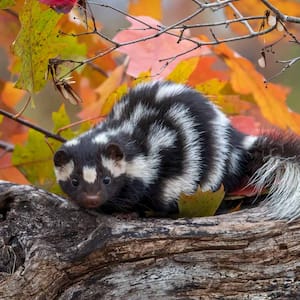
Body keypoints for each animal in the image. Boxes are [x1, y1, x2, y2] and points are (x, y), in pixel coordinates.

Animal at [53, 81, 300, 219]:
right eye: (74, 181)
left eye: (107, 179)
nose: (92, 199)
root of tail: (236, 139)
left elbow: (144, 191)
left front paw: (127, 211)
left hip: (212, 161)